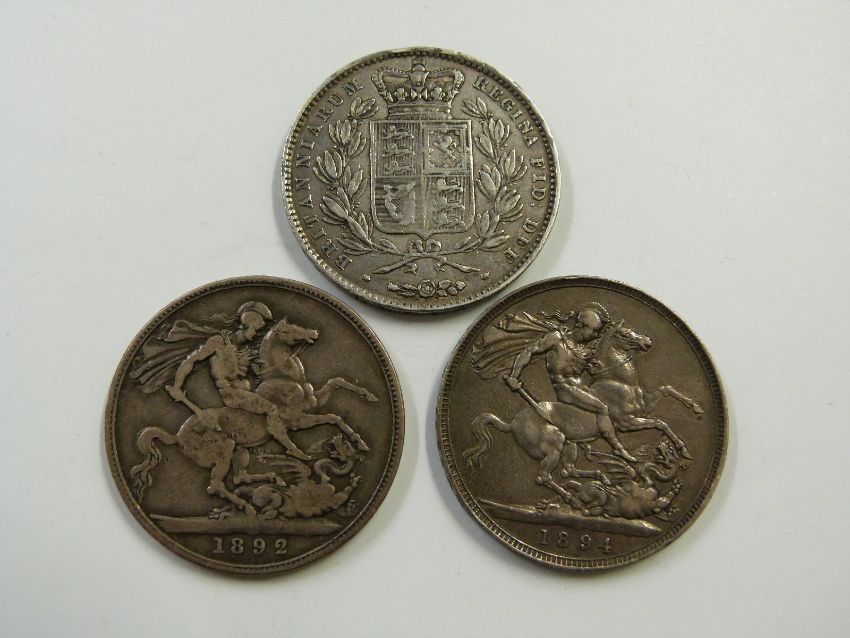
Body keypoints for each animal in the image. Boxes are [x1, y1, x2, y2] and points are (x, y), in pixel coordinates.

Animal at [129, 318, 377, 515]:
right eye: (289, 329)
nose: (314, 333)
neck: (283, 376)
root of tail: (177, 435)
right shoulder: (298, 420)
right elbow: (332, 417)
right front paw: (299, 453)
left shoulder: (314, 402)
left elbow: (337, 384)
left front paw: (368, 401)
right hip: (225, 450)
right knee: (215, 486)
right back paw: (247, 506)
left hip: (240, 451)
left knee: (240, 478)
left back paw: (273, 480)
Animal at [462, 321, 702, 506]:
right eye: (625, 334)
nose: (647, 341)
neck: (618, 382)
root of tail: (511, 423)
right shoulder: (627, 422)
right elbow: (659, 422)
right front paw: (629, 454)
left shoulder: (645, 407)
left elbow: (666, 391)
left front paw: (695, 410)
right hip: (555, 445)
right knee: (544, 476)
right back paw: (572, 496)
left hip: (570, 446)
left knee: (568, 471)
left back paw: (600, 478)